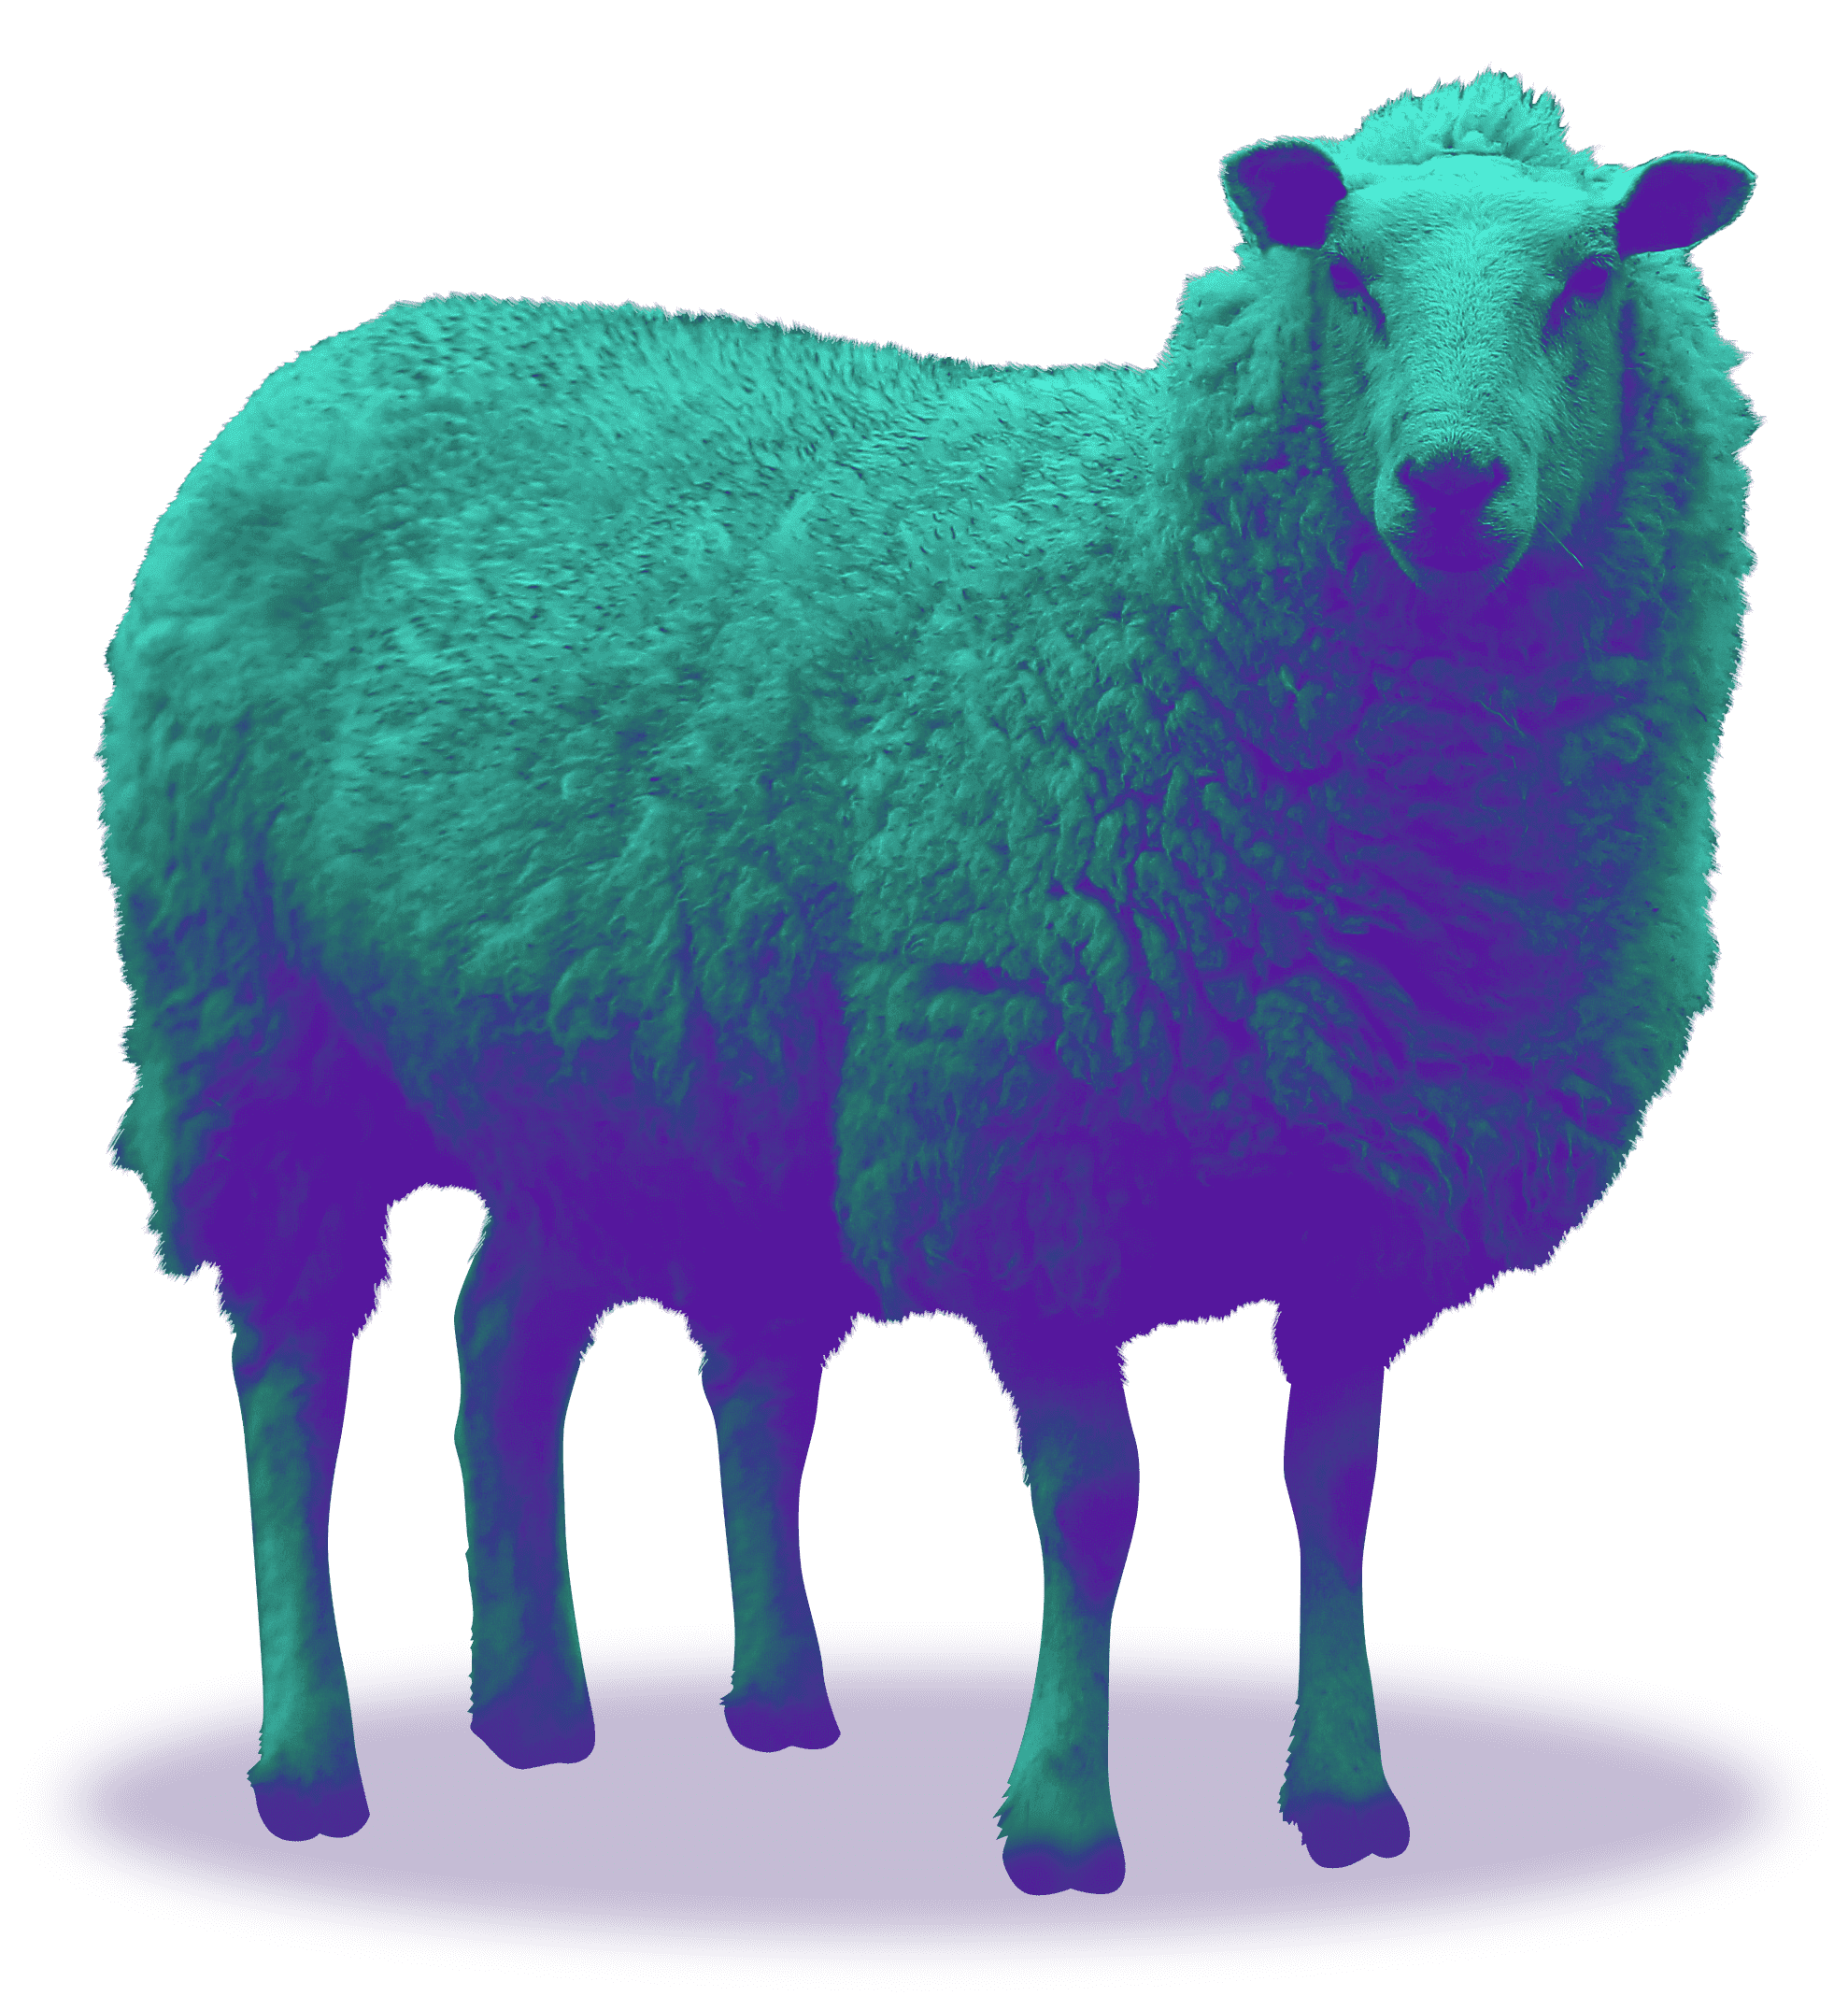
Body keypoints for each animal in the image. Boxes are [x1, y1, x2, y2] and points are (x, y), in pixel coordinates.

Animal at [96, 67, 1758, 1897]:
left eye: (1585, 284)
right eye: (1346, 277)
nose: (1450, 483)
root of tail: (343, 349)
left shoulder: (1369, 1205)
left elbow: (1335, 1492)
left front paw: (1342, 1801)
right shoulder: (1019, 1157)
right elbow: (1093, 1503)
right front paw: (1061, 1821)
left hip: (605, 1070)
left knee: (510, 1342)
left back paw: (592, 1706)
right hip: (255, 1026)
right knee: (293, 1372)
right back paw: (310, 1758)